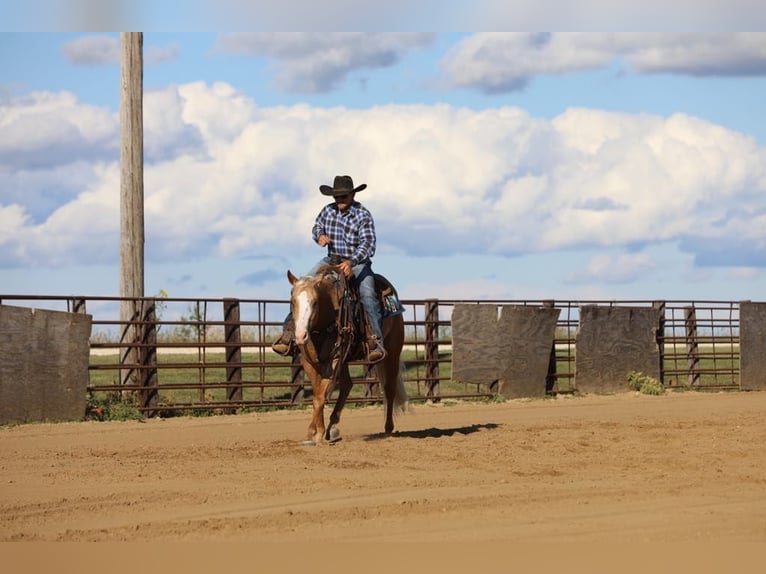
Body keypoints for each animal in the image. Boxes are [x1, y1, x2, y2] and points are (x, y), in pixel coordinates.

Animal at [286, 266, 408, 446]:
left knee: (389, 389)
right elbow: (317, 395)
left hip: (392, 352)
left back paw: (388, 428)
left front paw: (318, 434)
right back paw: (332, 426)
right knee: (347, 385)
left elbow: (320, 397)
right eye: (293, 302)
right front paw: (312, 433)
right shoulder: (309, 362)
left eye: (315, 302)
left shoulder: (335, 359)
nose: (301, 336)